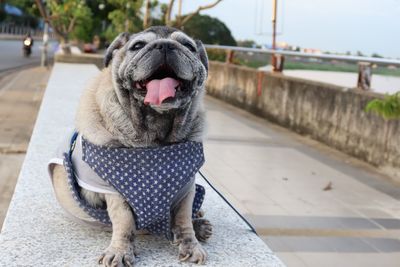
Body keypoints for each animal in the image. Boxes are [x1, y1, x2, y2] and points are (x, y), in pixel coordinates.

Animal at [47, 25, 212, 267]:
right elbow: (124, 221)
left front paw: (191, 244)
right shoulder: (114, 190)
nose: (165, 45)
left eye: (188, 46)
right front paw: (121, 250)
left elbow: (183, 220)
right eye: (138, 46)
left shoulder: (185, 186)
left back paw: (199, 222)